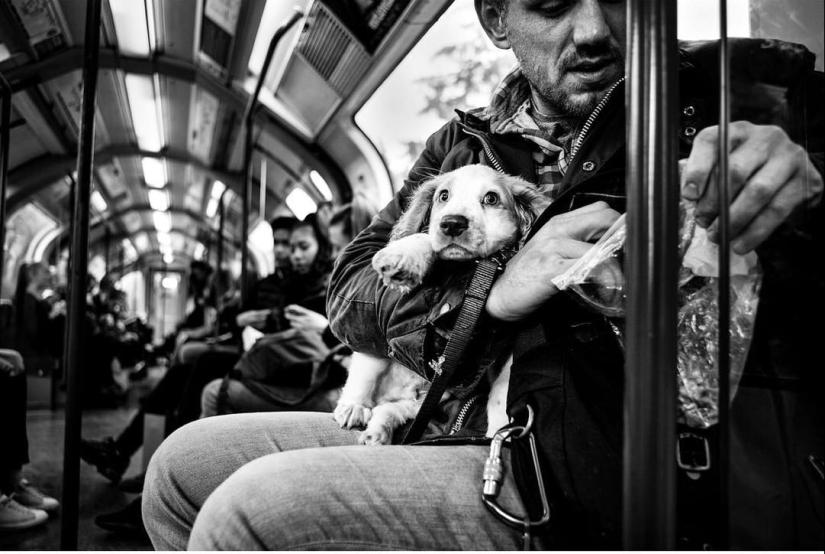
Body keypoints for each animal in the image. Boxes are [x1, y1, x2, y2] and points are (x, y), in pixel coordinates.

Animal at [334, 164, 548, 444]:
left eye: (491, 198)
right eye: (443, 196)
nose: (452, 223)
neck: (472, 269)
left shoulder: (503, 348)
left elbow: (502, 389)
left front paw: (498, 433)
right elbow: (427, 238)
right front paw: (404, 255)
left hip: (425, 401)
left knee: (388, 409)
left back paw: (378, 432)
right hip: (375, 349)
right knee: (362, 374)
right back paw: (353, 408)